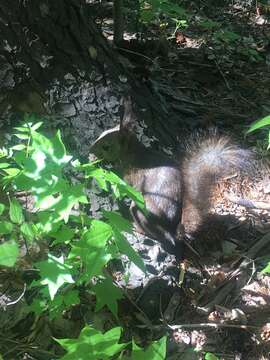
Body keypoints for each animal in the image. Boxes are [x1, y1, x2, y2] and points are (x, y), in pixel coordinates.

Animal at [90, 95, 251, 253]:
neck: (132, 152)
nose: (90, 150)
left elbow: (120, 182)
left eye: (106, 147)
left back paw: (136, 228)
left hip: (140, 210)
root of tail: (173, 231)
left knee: (156, 234)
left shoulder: (130, 174)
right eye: (101, 134)